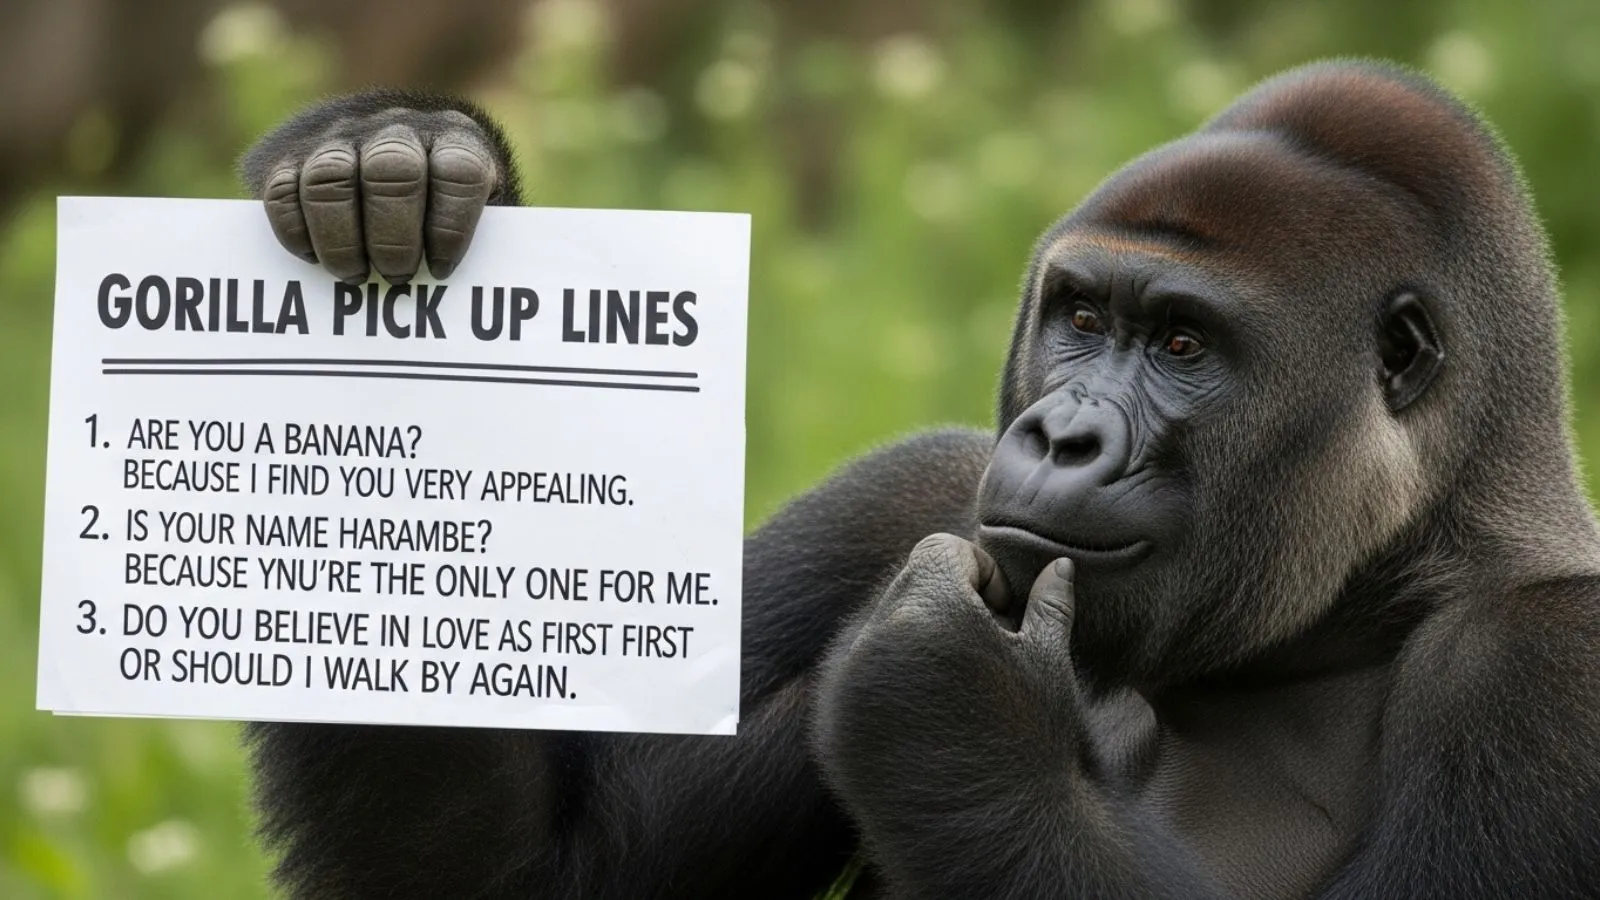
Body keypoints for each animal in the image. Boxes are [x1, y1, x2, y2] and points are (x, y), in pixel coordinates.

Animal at [239, 61, 1600, 899]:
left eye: (1180, 345)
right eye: (1080, 316)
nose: (1060, 439)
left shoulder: (1547, 665)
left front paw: (953, 701)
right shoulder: (918, 487)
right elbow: (508, 878)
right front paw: (399, 173)